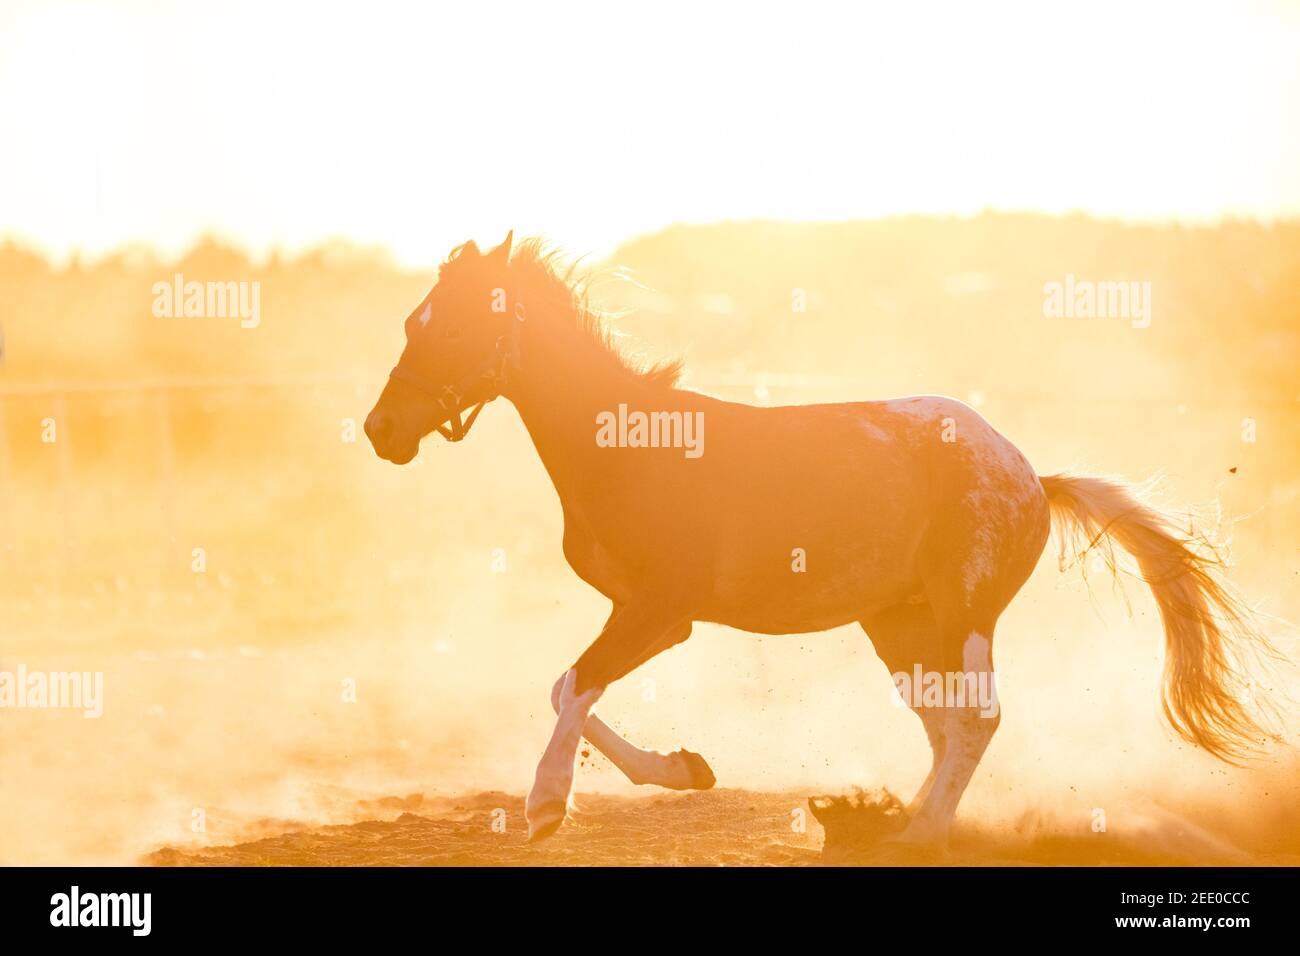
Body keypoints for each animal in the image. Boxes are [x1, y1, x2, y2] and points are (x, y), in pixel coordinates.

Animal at [364, 232, 1277, 846]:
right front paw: (684, 768)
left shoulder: (661, 612)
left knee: (978, 719)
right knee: (944, 723)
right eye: (414, 322)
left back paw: (918, 835)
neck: (627, 449)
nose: (381, 431)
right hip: (900, 624)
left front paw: (548, 805)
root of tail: (1031, 477)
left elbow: (574, 684)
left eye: (452, 328)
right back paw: (898, 820)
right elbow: (568, 688)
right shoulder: (644, 613)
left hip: (965, 614)